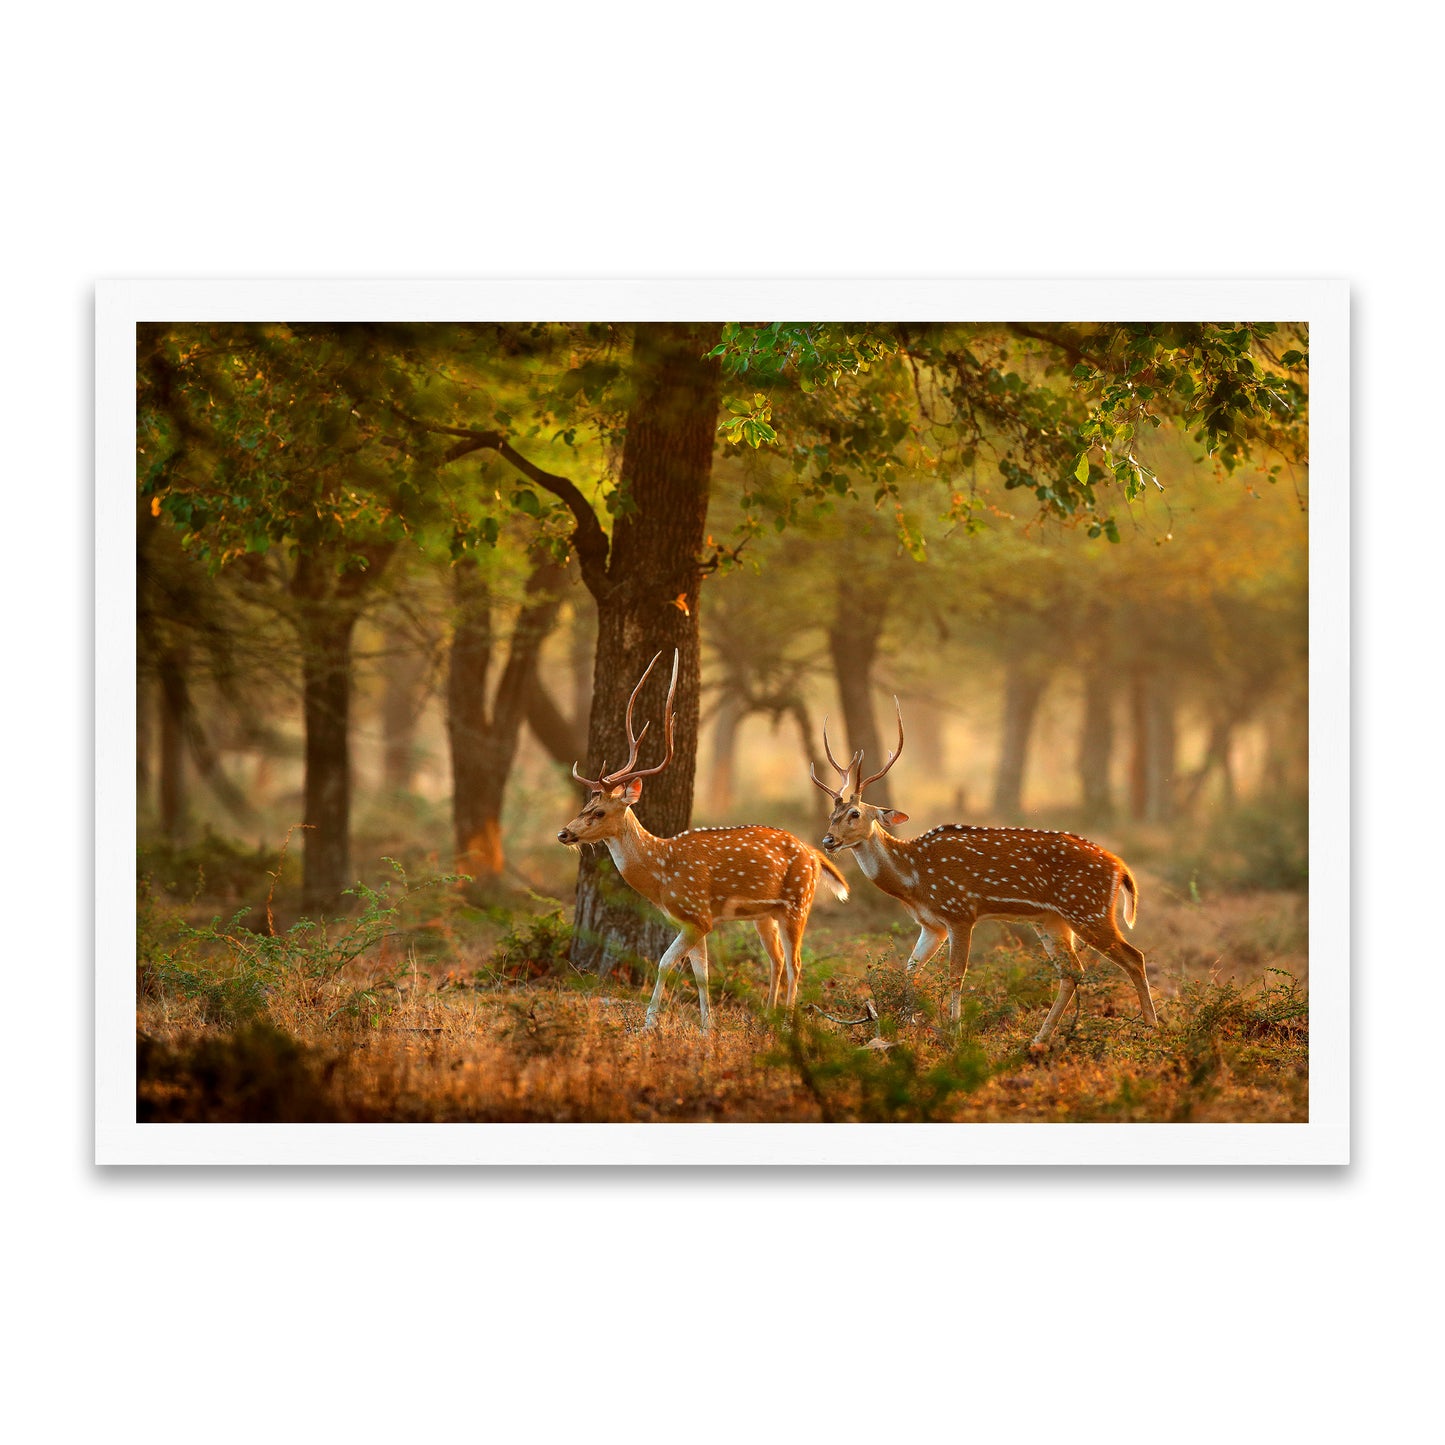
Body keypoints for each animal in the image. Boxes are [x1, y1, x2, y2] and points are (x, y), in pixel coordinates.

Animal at [557, 650, 850, 1031]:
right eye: (585, 805)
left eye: (600, 811)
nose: (564, 833)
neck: (661, 874)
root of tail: (815, 853)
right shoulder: (693, 921)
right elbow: (702, 975)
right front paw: (707, 1026)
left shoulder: (697, 915)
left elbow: (665, 963)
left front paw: (649, 1023)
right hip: (765, 914)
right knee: (778, 960)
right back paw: (769, 1015)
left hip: (798, 903)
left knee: (796, 963)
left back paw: (786, 1021)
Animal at [811, 702, 1159, 1050]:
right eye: (831, 814)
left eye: (855, 814)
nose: (828, 840)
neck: (914, 879)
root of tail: (1121, 869)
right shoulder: (932, 924)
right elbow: (910, 968)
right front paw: (903, 1026)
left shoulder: (960, 911)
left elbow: (955, 974)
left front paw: (954, 1031)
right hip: (1052, 920)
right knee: (1072, 971)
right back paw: (1039, 1038)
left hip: (1088, 909)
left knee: (1134, 957)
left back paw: (1151, 1030)